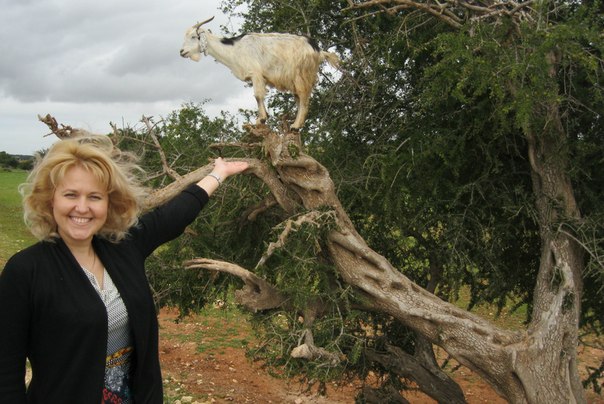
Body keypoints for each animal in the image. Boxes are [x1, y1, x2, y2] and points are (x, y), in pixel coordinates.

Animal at [179, 17, 340, 130]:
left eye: (193, 37)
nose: (182, 52)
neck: (234, 50)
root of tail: (318, 50)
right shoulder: (258, 76)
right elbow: (260, 96)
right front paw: (264, 117)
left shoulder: (255, 73)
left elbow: (257, 95)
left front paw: (260, 119)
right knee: (300, 99)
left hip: (301, 74)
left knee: (304, 98)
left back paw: (295, 126)